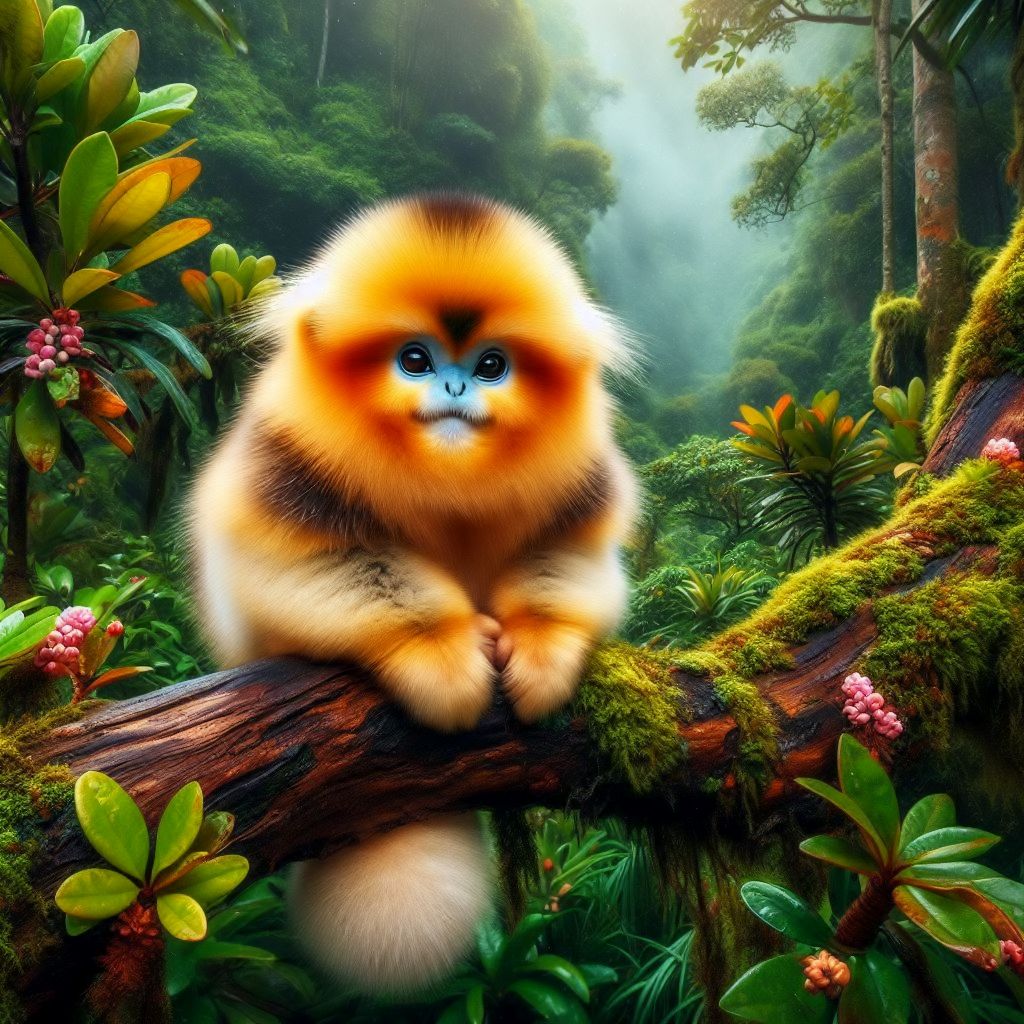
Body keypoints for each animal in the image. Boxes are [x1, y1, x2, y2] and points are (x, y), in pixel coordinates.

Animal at [187, 192, 637, 996]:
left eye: (491, 365)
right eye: (416, 360)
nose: (454, 389)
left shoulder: (583, 490)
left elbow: (571, 560)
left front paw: (541, 651)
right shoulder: (280, 471)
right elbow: (311, 566)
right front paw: (445, 658)